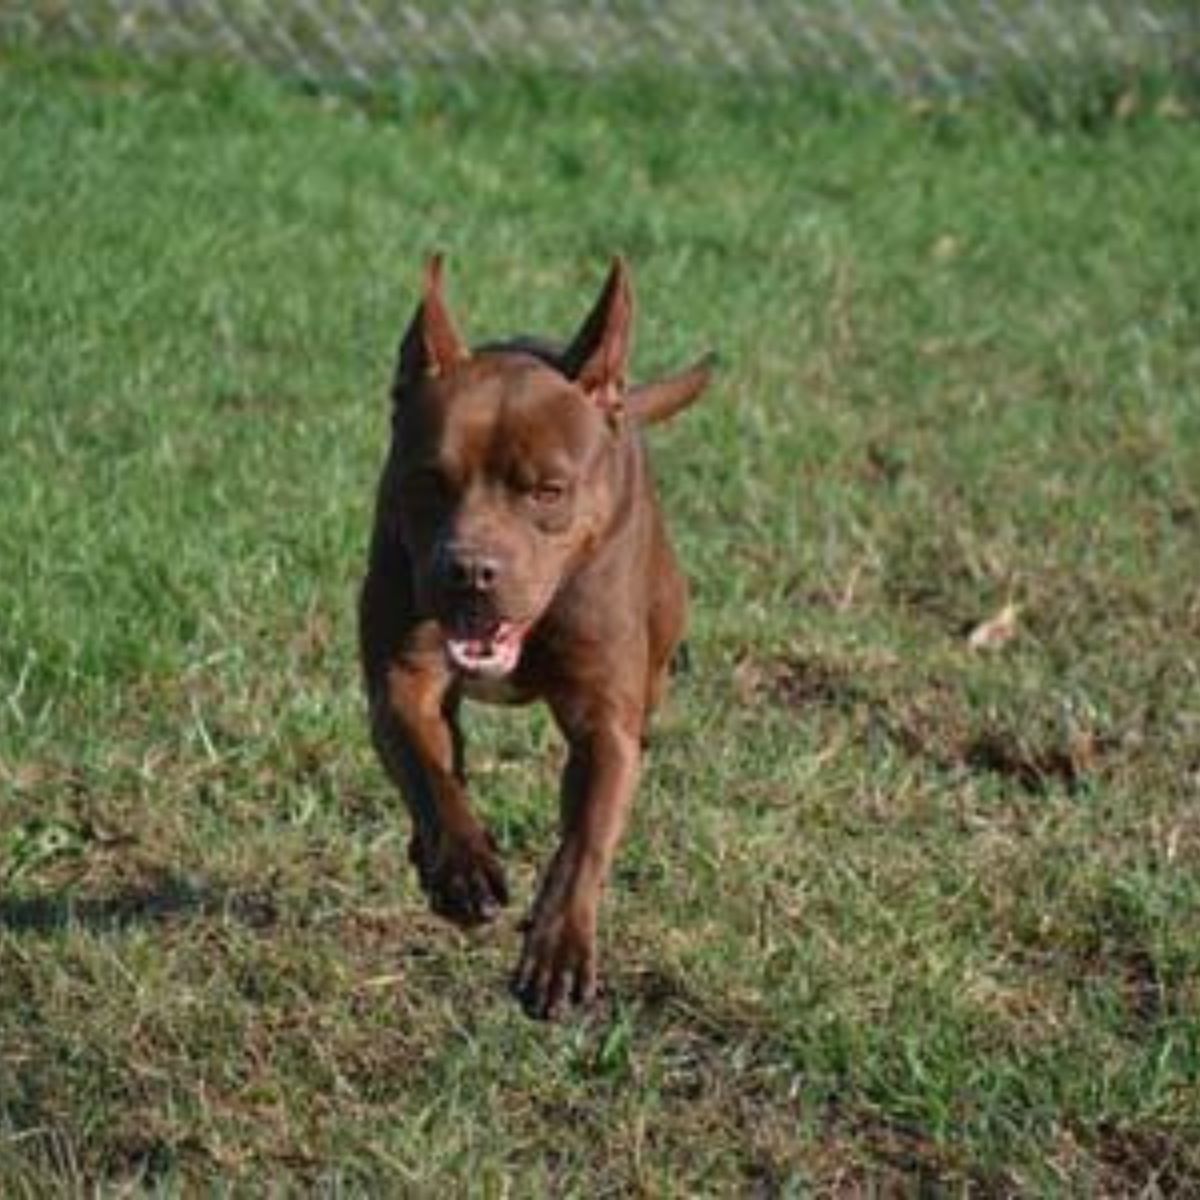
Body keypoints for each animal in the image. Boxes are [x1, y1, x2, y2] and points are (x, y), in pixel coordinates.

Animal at [357, 258, 710, 1017]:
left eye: (548, 491)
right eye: (429, 482)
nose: (470, 572)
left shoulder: (604, 724)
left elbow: (583, 842)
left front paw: (558, 949)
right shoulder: (401, 679)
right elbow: (429, 771)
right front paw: (462, 865)